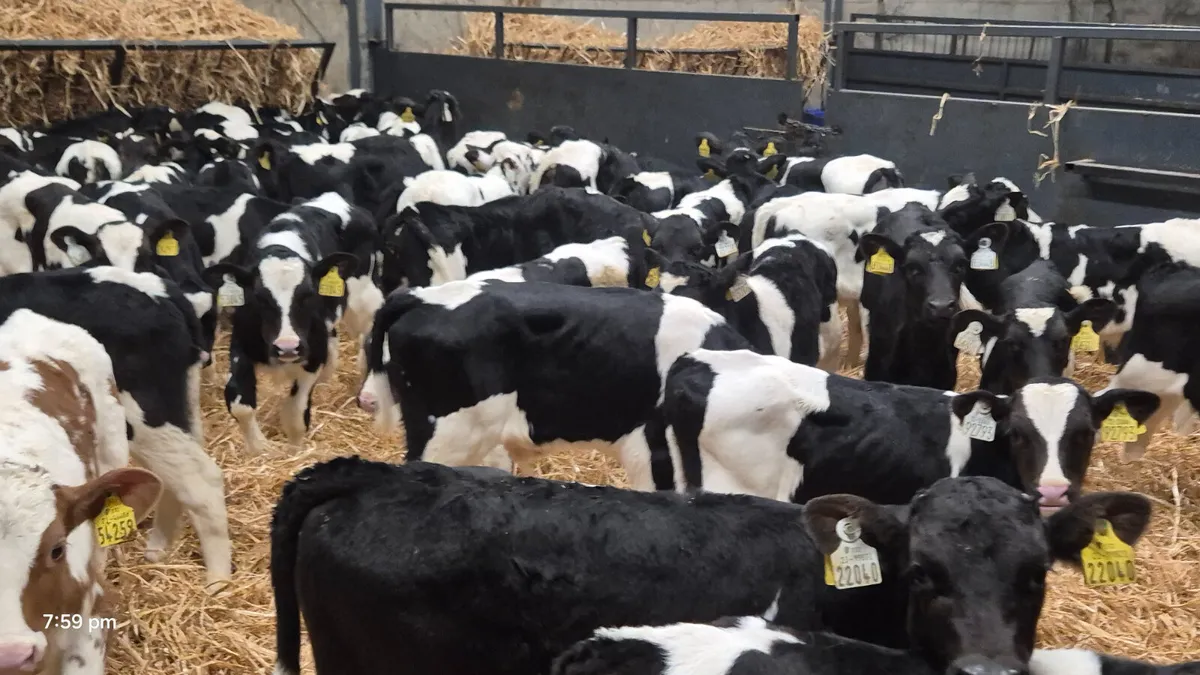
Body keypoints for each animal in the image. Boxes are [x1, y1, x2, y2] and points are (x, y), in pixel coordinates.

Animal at [205, 193, 378, 454]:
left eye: (307, 295)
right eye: (259, 298)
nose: (287, 347)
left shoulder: (312, 354)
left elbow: (296, 413)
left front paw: (295, 451)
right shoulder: (241, 344)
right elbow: (240, 404)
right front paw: (259, 448)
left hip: (363, 300)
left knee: (367, 338)